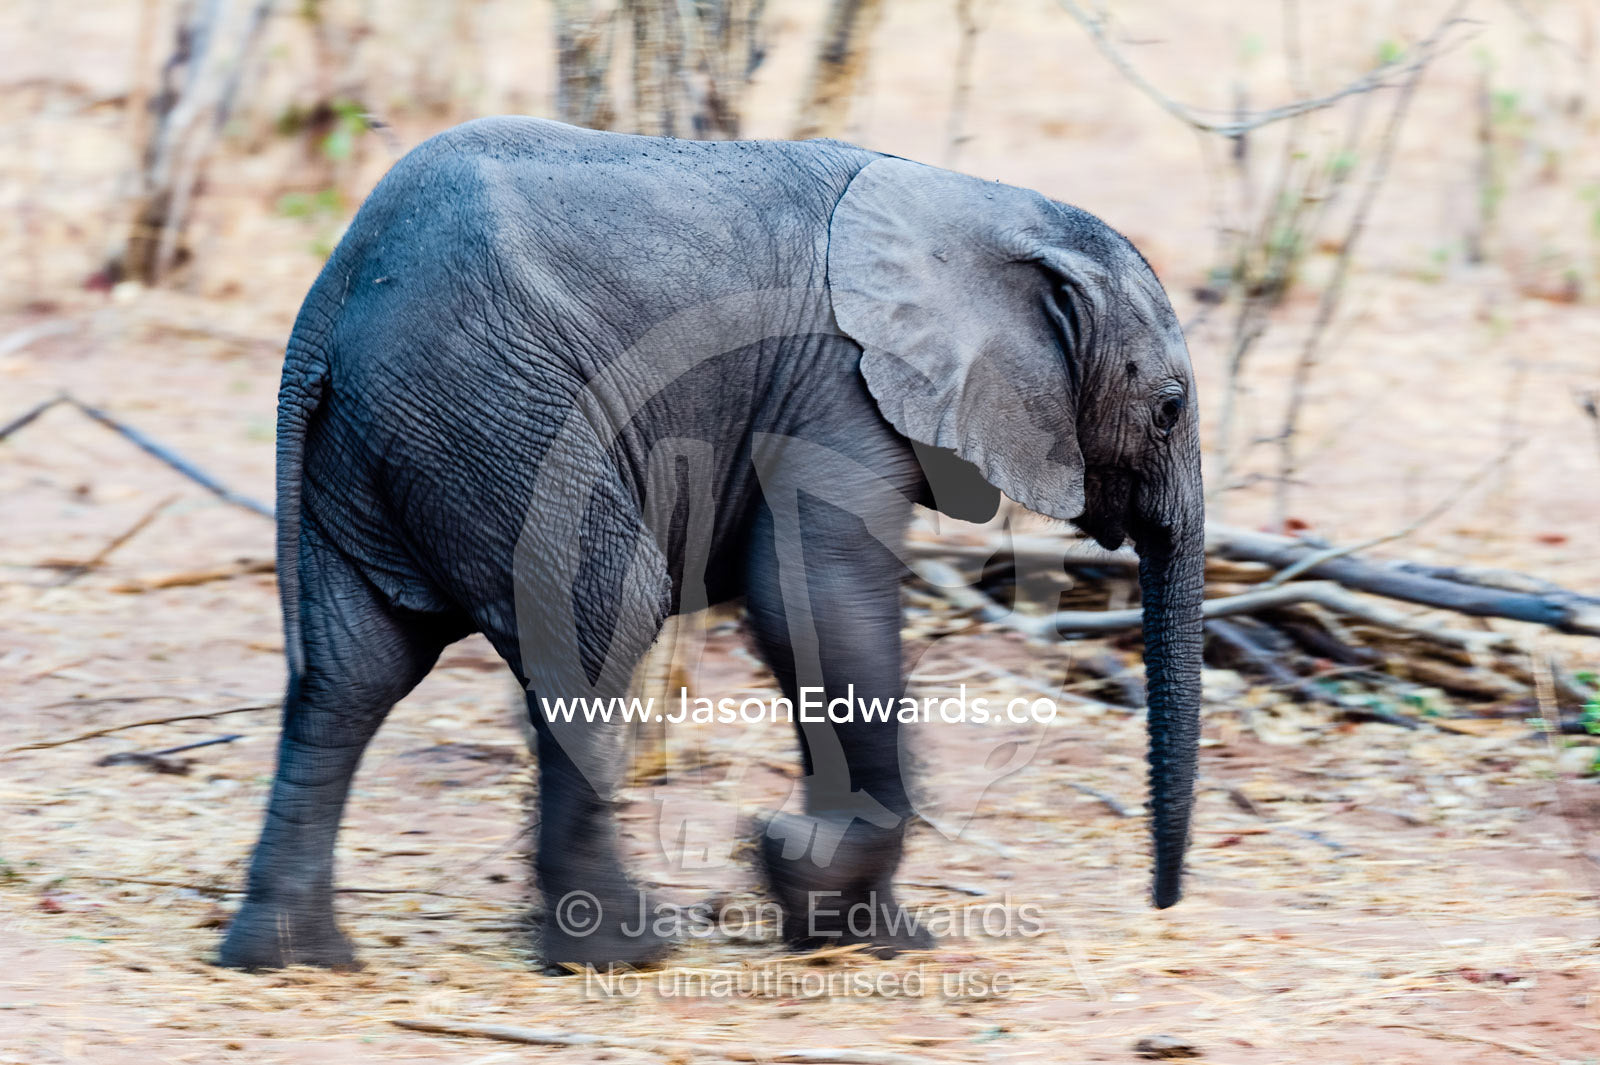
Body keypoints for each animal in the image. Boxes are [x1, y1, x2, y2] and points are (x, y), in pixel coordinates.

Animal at [217, 116, 1202, 972]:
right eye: (1170, 409)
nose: (1163, 907)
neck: (988, 209)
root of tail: (334, 298)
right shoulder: (837, 389)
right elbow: (817, 598)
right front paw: (804, 877)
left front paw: (859, 930)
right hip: (492, 412)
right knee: (604, 610)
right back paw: (623, 950)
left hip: (385, 441)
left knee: (353, 667)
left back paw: (294, 959)